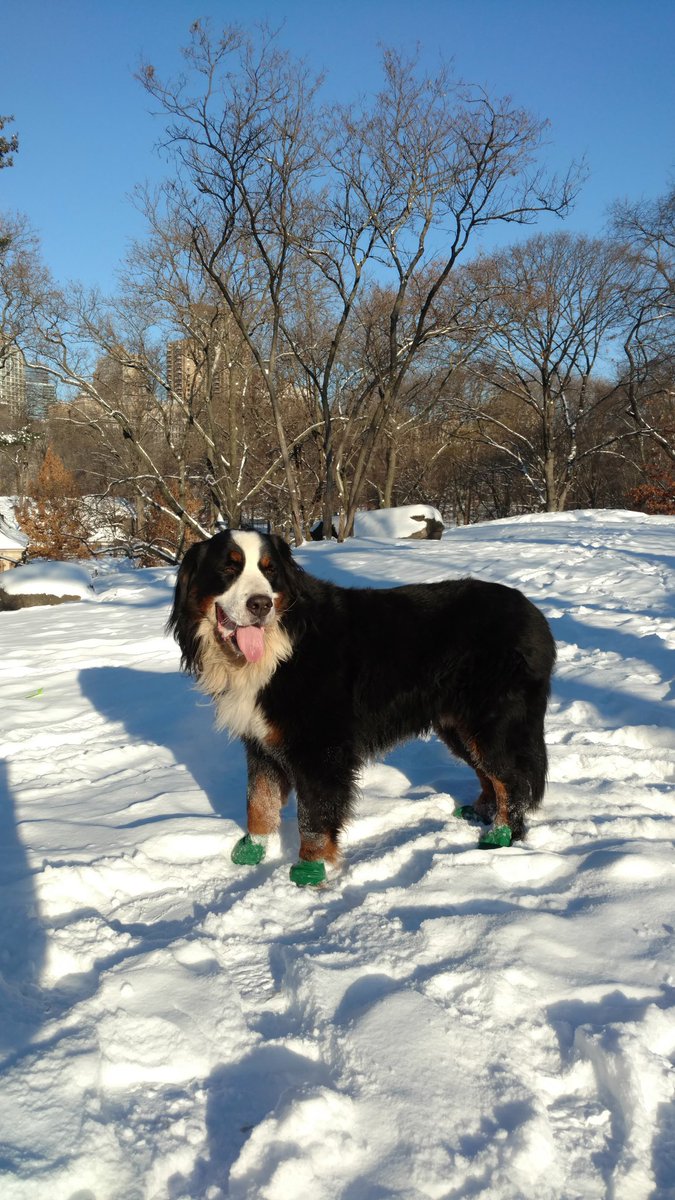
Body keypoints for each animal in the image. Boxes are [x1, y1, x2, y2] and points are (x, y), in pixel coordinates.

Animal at [165, 530, 554, 888]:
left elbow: (313, 816)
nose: (261, 604)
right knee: (488, 773)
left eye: (269, 570)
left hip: (492, 723)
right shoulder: (261, 741)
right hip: (457, 725)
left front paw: (310, 869)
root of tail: (535, 614)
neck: (281, 647)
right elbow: (259, 801)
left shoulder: (320, 748)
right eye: (228, 568)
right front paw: (253, 849)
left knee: (511, 779)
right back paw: (481, 812)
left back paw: (501, 834)